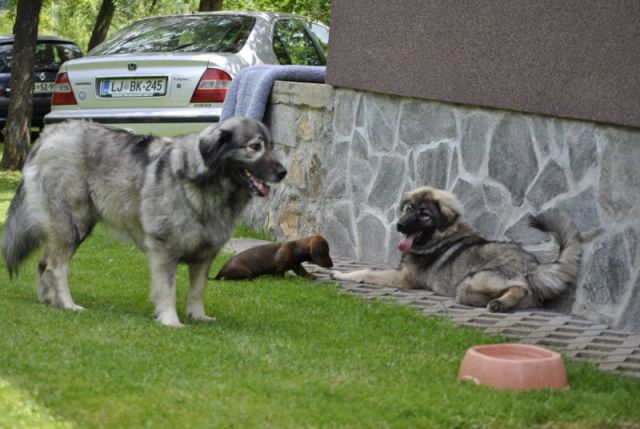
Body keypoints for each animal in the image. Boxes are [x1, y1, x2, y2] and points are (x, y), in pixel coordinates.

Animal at [1, 116, 288, 324]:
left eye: (271, 146)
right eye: (255, 147)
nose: (283, 172)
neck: (207, 183)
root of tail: (48, 136)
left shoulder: (205, 254)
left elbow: (196, 289)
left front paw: (198, 316)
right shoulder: (164, 248)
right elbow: (168, 288)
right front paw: (171, 320)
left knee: (43, 263)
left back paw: (49, 301)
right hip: (73, 224)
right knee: (55, 267)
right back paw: (67, 304)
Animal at [332, 185, 584, 310]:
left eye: (424, 214)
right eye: (410, 207)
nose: (400, 225)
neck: (442, 236)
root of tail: (533, 267)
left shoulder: (404, 278)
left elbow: (367, 272)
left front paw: (342, 274)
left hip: (471, 281)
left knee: (516, 289)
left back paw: (498, 303)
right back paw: (501, 304)